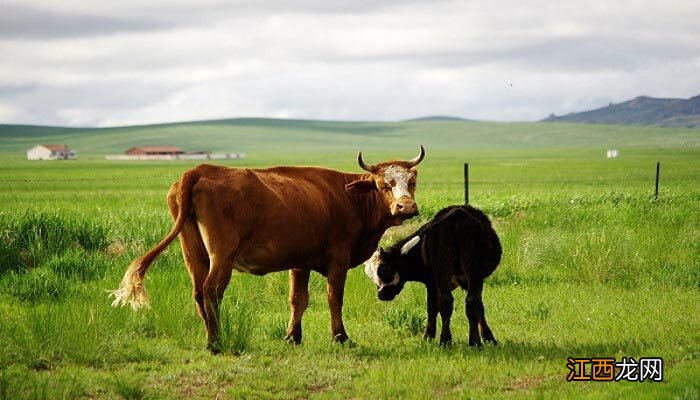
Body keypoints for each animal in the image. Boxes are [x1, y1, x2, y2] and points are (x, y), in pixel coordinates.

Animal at [111, 148, 424, 354]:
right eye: (383, 184)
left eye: (412, 182)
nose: (406, 207)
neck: (348, 197)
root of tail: (199, 170)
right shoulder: (338, 258)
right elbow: (334, 298)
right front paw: (340, 336)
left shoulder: (300, 261)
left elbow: (298, 299)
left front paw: (293, 337)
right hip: (222, 255)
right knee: (212, 291)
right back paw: (216, 343)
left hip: (194, 253)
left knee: (199, 293)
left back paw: (210, 338)